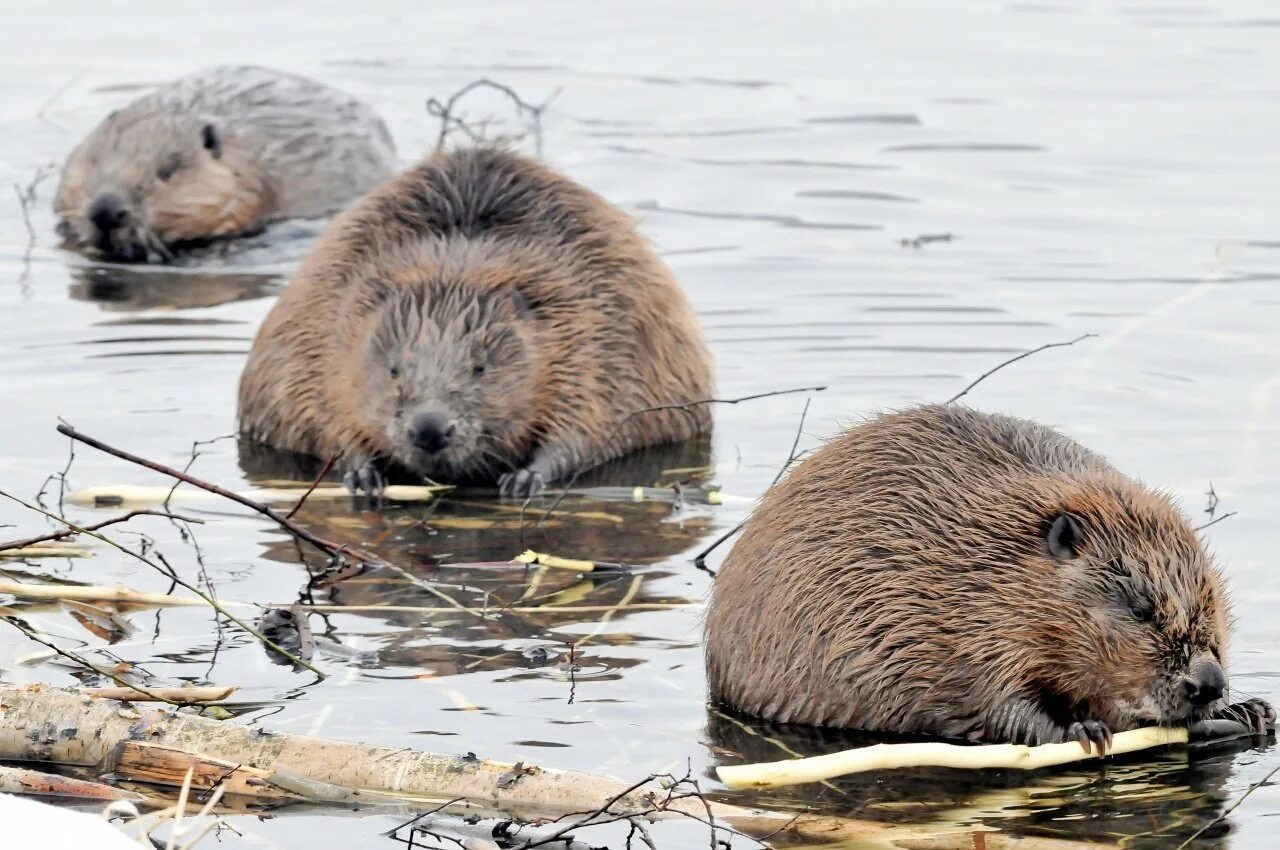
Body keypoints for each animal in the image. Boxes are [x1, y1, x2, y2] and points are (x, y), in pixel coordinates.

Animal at [239, 147, 716, 499]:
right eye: (392, 369)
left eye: (480, 367)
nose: (430, 429)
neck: (455, 271)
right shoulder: (324, 324)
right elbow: (320, 410)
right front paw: (362, 476)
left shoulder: (599, 329)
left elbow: (591, 421)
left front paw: (525, 478)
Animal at [706, 404, 1274, 752]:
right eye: (1139, 608)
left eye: (1212, 607)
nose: (1208, 682)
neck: (987, 561)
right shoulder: (951, 630)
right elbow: (995, 704)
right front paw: (1084, 729)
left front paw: (1251, 710)